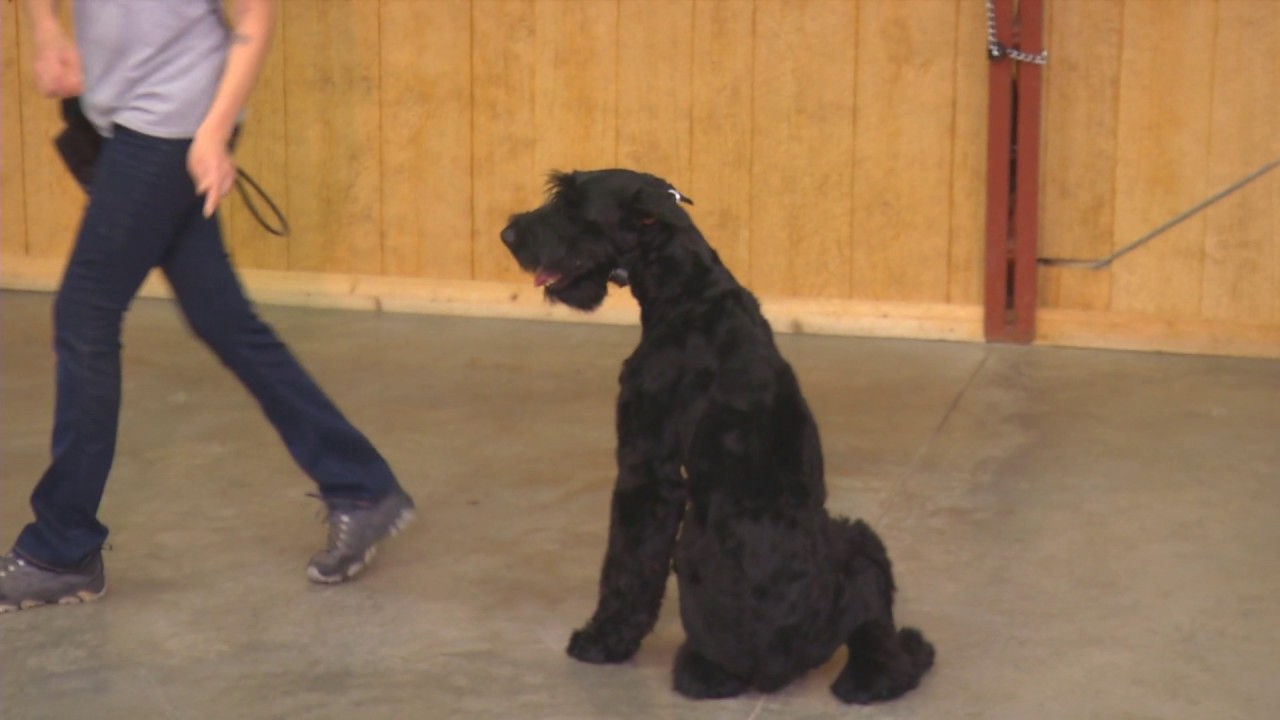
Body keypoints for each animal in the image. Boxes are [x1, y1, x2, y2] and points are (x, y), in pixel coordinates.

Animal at [496, 167, 931, 702]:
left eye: (575, 208)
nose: (508, 235)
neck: (691, 295)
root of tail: (785, 660)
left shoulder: (646, 469)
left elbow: (628, 562)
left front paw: (604, 639)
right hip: (861, 548)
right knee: (879, 649)